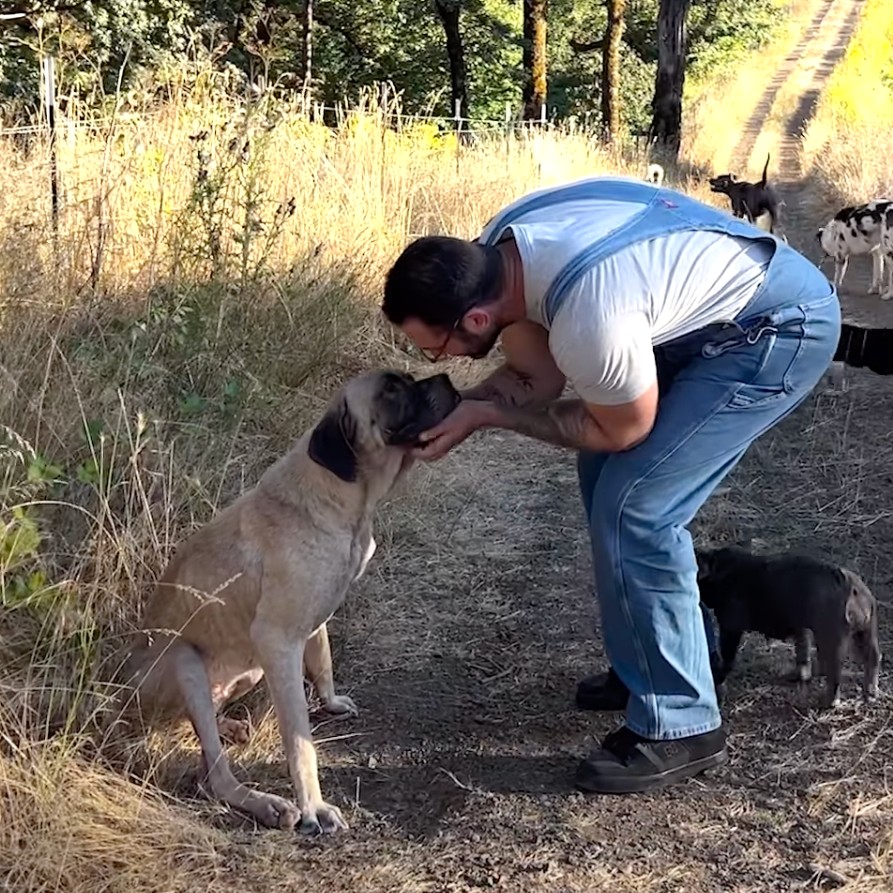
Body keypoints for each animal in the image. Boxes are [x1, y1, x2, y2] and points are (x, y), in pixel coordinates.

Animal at [696, 544, 880, 704]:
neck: (718, 568)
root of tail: (851, 587)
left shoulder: (730, 628)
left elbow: (727, 658)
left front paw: (718, 678)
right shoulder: (801, 627)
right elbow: (802, 652)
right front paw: (801, 675)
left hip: (831, 639)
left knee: (834, 670)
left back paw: (830, 701)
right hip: (865, 632)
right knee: (872, 657)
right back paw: (870, 693)